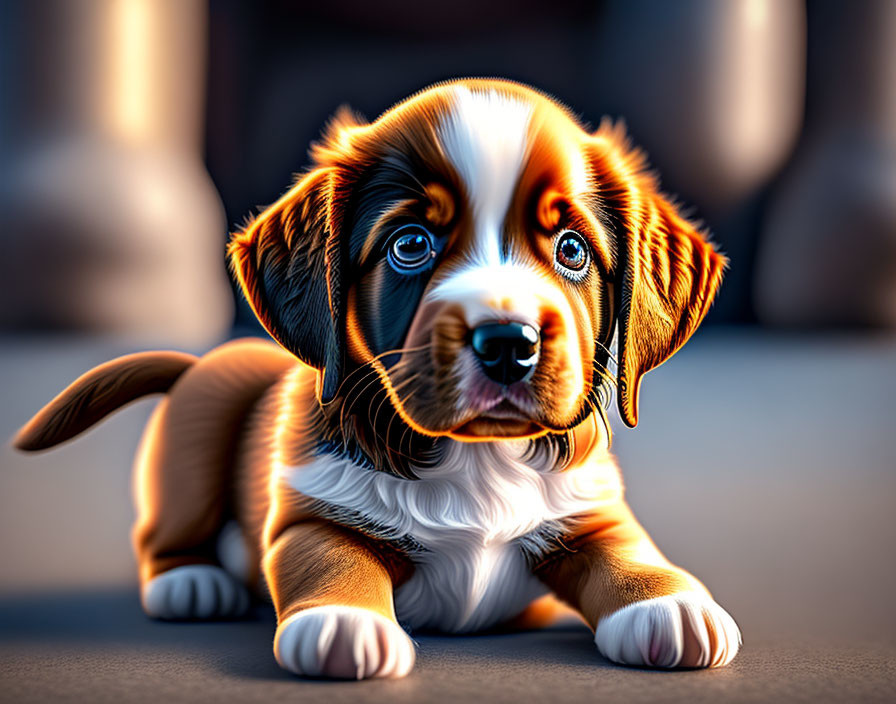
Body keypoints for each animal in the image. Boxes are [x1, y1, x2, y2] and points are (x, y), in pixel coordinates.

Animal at [14, 80, 744, 680]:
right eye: (411, 244)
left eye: (571, 249)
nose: (509, 345)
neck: (477, 459)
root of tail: (201, 361)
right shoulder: (312, 514)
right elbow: (333, 560)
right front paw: (344, 623)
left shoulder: (589, 508)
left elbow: (627, 551)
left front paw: (670, 604)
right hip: (192, 446)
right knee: (165, 529)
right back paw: (191, 581)